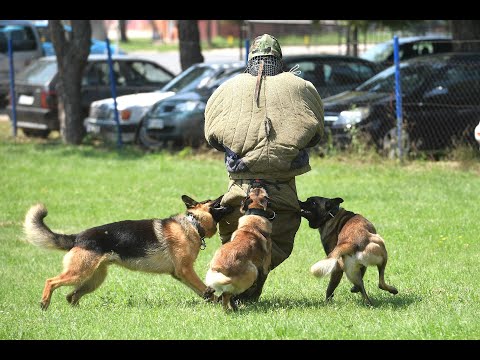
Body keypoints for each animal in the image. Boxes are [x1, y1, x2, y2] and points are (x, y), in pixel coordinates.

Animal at [23, 195, 232, 310]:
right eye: (211, 201)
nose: (225, 196)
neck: (192, 224)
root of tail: (77, 237)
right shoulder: (186, 271)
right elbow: (205, 288)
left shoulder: (181, 274)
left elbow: (203, 291)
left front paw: (215, 303)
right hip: (79, 273)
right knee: (51, 281)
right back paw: (44, 303)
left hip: (93, 279)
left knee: (71, 296)